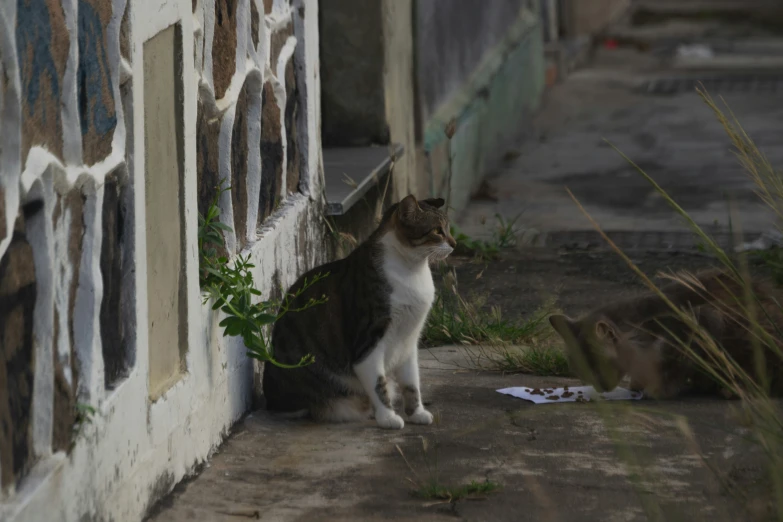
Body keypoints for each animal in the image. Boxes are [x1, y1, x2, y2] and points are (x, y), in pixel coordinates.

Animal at [264, 194, 456, 426]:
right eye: (437, 230)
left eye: (448, 228)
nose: (455, 244)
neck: (412, 270)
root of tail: (270, 401)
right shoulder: (368, 341)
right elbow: (378, 383)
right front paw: (388, 418)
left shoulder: (409, 342)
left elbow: (412, 383)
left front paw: (416, 413)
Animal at [548, 268, 783, 398]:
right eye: (580, 368)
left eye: (597, 365)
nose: (599, 387)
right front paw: (639, 383)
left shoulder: (699, 326)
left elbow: (673, 368)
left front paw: (657, 389)